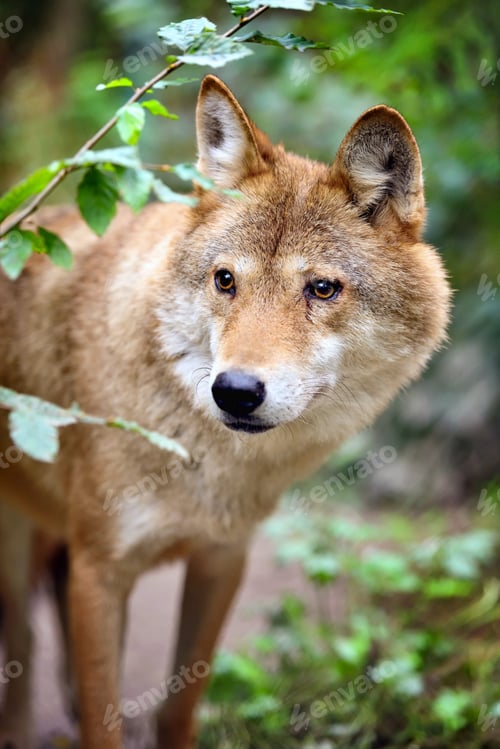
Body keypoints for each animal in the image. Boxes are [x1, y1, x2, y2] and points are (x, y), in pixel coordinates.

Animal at [0, 74, 450, 748]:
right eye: (225, 280)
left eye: (322, 289)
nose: (234, 391)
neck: (200, 455)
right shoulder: (99, 571)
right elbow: (105, 718)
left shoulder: (221, 560)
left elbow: (178, 704)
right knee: (22, 646)